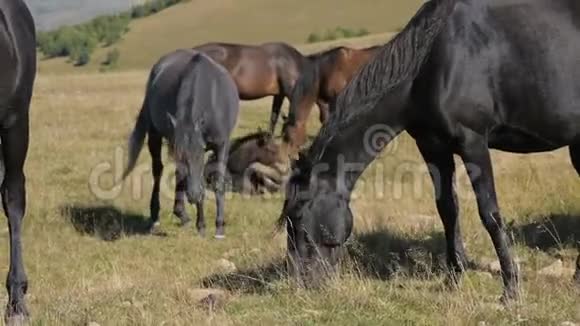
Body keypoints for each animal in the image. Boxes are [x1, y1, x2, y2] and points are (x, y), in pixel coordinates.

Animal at [123, 48, 239, 238]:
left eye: (200, 154)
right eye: (180, 155)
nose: (192, 195)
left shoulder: (221, 145)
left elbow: (217, 181)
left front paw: (219, 227)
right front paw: (201, 225)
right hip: (154, 135)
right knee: (159, 170)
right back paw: (158, 217)